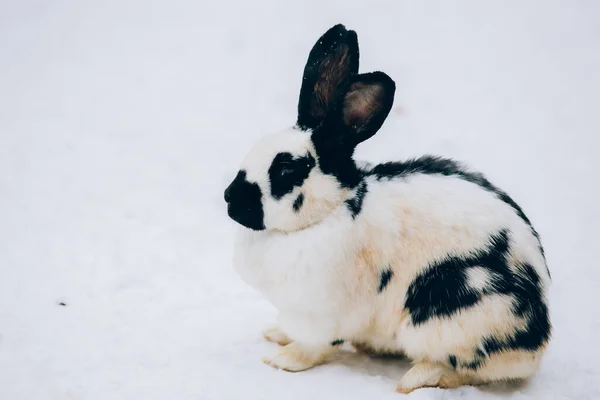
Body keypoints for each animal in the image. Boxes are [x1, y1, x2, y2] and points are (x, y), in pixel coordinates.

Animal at [223, 23, 552, 392]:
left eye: (285, 170)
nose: (229, 198)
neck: (330, 211)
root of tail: (536, 343)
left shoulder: (321, 316)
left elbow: (312, 346)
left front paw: (281, 360)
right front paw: (274, 333)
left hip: (450, 308)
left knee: (464, 368)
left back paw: (415, 378)